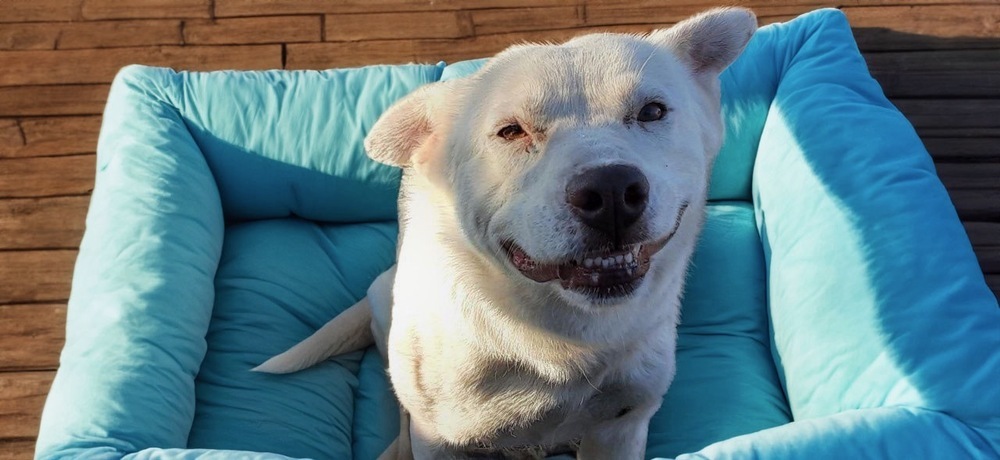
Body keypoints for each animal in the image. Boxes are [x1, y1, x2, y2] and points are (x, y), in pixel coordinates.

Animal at [254, 8, 752, 460]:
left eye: (652, 111)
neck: (556, 339)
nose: (611, 190)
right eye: (511, 131)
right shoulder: (437, 442)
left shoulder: (620, 429)